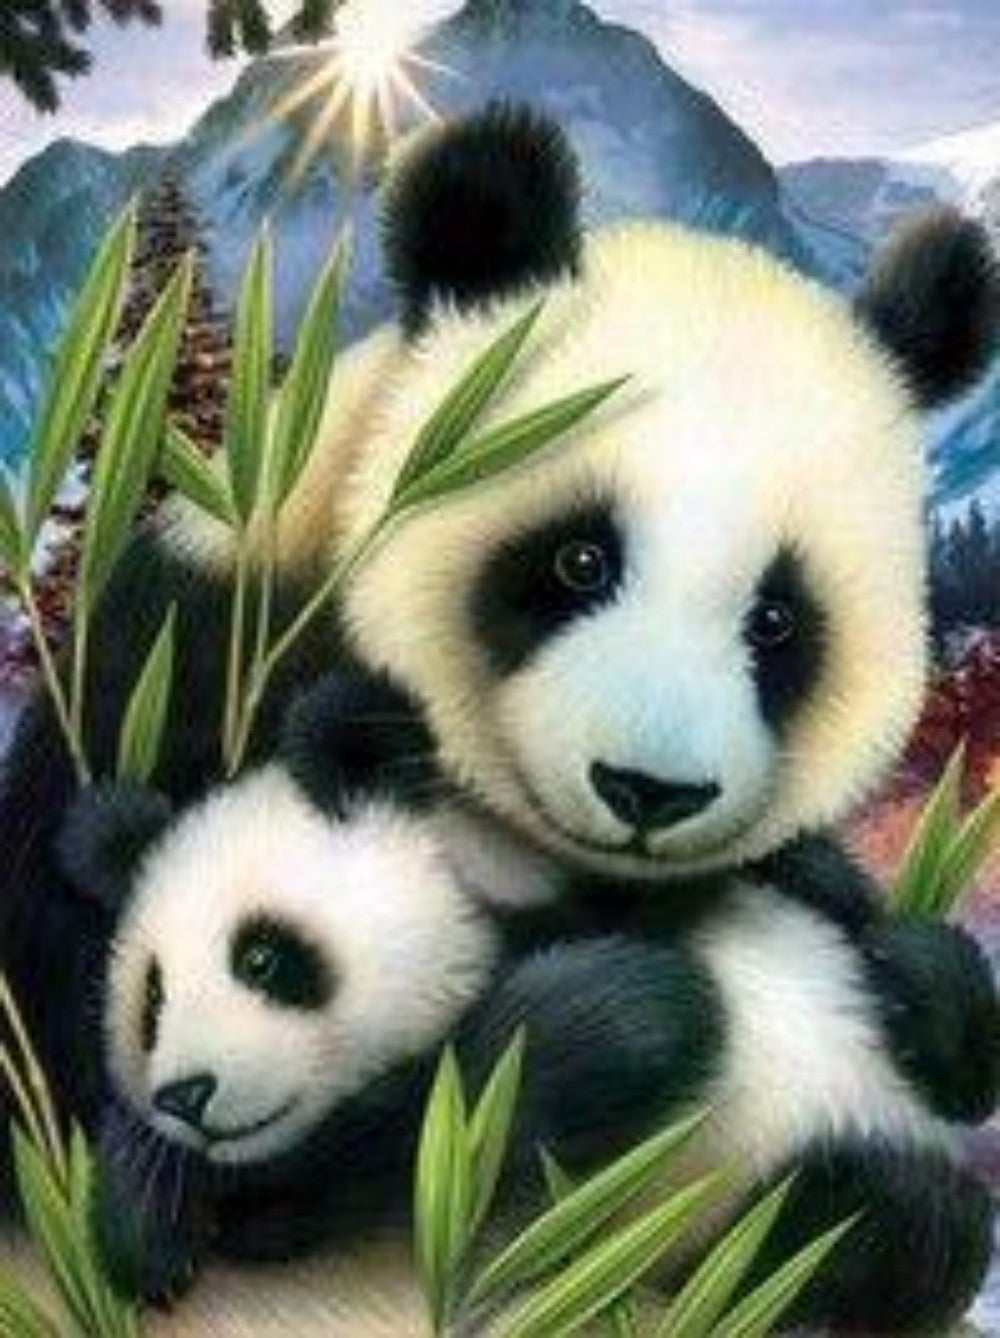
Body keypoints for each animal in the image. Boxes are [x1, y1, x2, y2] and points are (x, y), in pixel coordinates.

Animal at [35, 667, 999, 1335]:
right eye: (150, 1000)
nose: (184, 1095)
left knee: (892, 1219)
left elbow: (634, 1026)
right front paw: (148, 1212)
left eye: (263, 956)